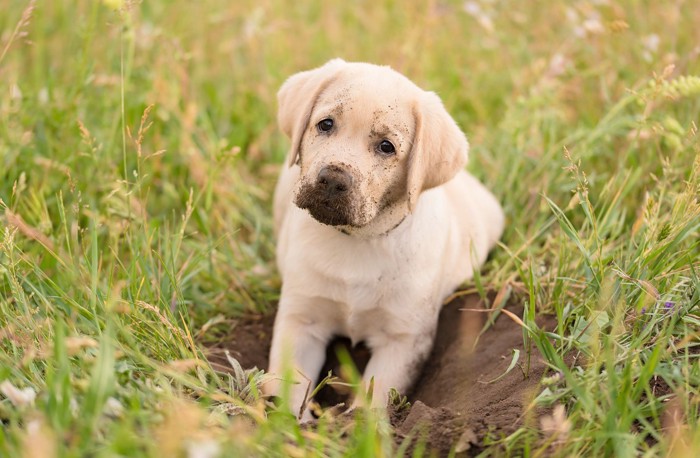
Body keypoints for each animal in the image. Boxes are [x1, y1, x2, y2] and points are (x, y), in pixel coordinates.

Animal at [264, 59, 504, 420]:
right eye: (325, 124)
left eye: (386, 147)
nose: (332, 179)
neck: (358, 240)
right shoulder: (301, 318)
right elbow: (289, 383)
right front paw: (288, 425)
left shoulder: (403, 340)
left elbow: (375, 398)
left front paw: (359, 428)